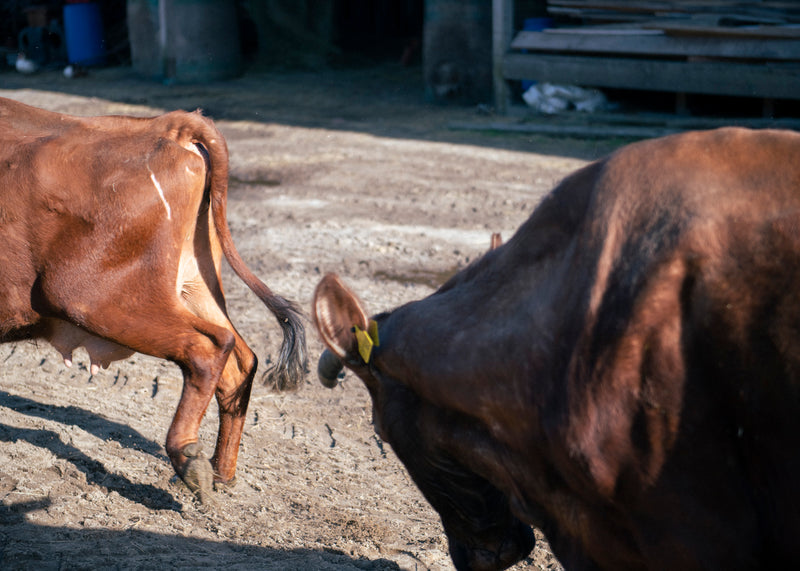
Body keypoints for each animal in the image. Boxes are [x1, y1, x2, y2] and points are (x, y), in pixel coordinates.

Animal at [0, 98, 306, 504]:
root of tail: (165, 126)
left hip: (88, 298)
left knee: (208, 347)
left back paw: (190, 460)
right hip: (194, 284)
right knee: (240, 362)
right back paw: (220, 473)